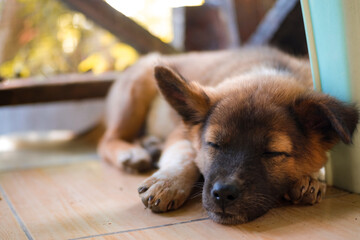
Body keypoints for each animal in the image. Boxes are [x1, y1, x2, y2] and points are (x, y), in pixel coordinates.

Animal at [99, 47, 360, 225]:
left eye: (272, 152)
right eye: (213, 144)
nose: (224, 194)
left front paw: (313, 178)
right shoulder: (181, 133)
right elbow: (185, 156)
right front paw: (168, 182)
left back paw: (150, 145)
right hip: (133, 96)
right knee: (105, 141)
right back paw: (132, 153)